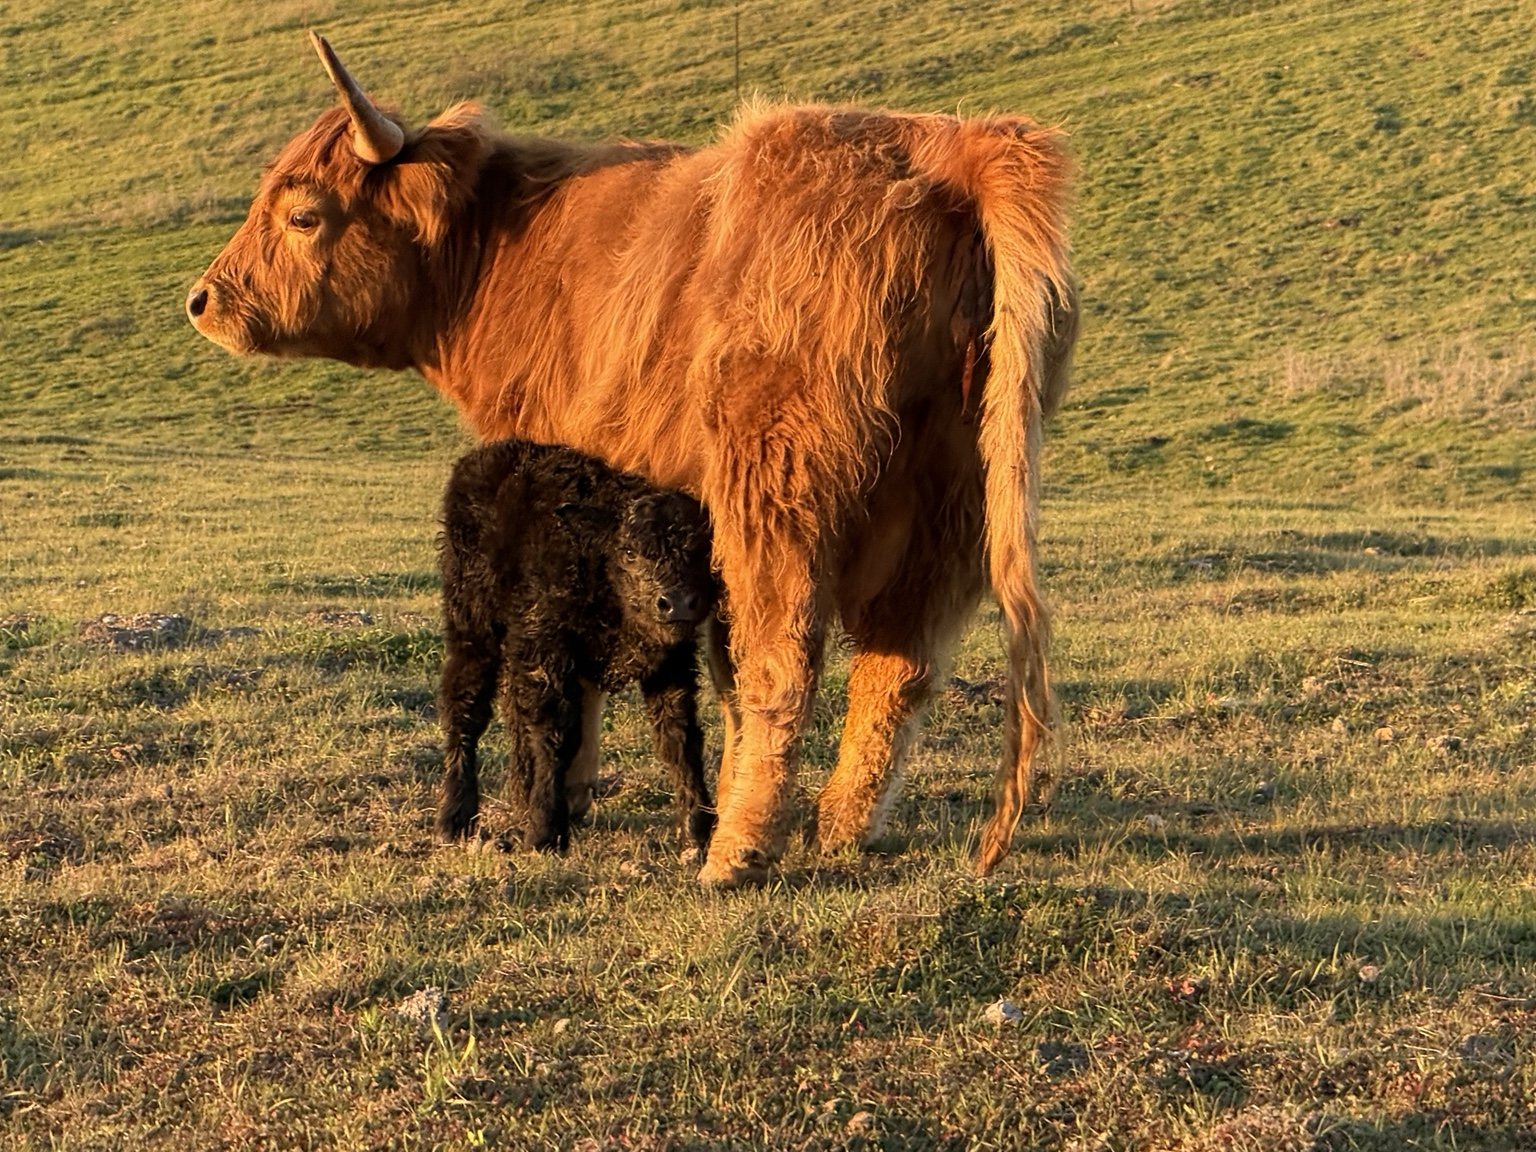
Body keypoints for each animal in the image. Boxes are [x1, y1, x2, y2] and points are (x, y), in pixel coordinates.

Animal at [187, 33, 1079, 889]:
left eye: (303, 215)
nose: (203, 301)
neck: (501, 252)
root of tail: (946, 145)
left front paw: (565, 796)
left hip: (777, 490)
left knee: (783, 661)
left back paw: (736, 854)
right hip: (955, 504)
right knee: (897, 670)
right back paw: (835, 829)